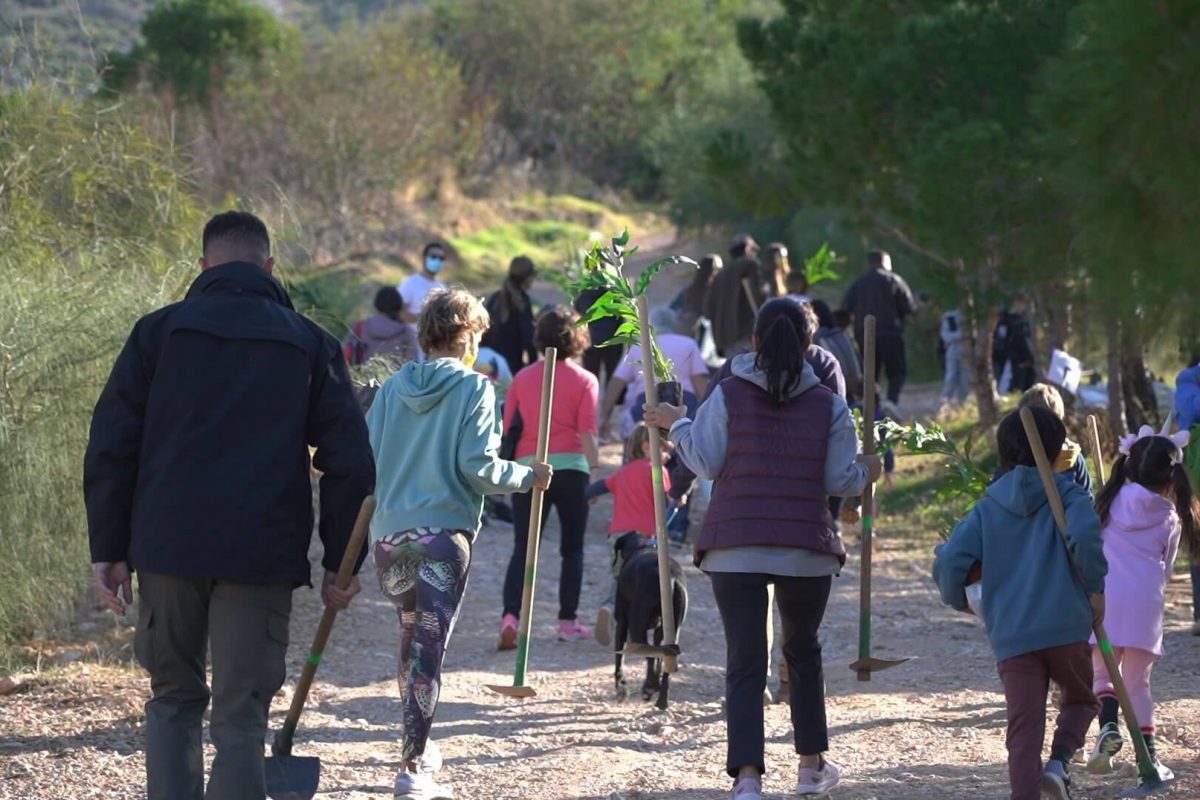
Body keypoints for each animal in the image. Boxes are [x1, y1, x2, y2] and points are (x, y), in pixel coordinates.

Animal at [614, 534, 691, 710]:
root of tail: (672, 578)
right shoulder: (659, 632)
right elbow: (659, 659)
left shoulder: (622, 623)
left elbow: (619, 660)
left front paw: (621, 687)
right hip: (673, 631)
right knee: (667, 657)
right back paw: (661, 699)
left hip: (636, 626)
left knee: (648, 653)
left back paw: (650, 687)